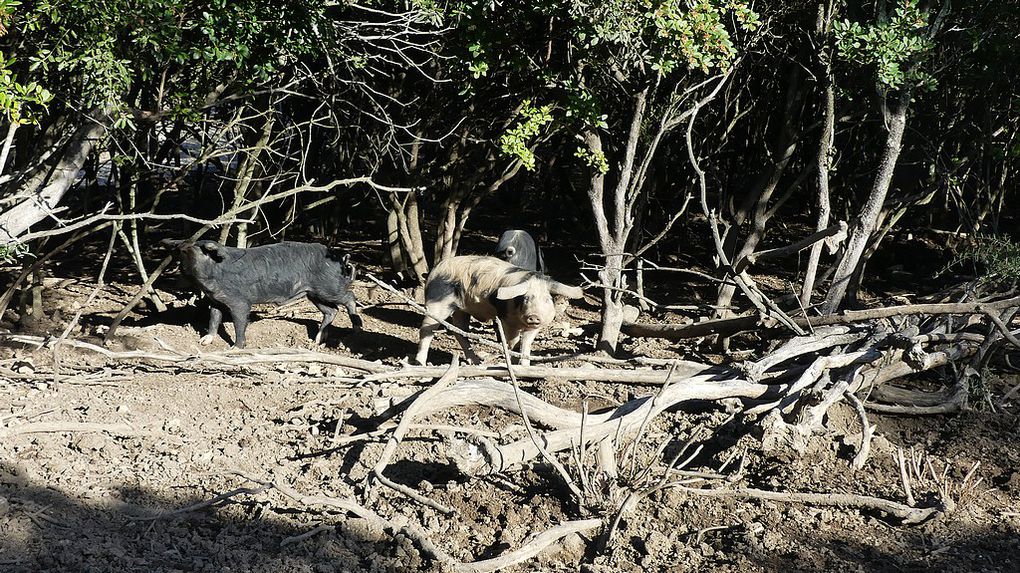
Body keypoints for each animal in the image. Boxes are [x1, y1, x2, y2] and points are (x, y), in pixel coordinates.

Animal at [161, 237, 365, 348]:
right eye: (179, 256)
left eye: (191, 258)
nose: (175, 278)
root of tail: (339, 258)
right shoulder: (216, 301)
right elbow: (213, 319)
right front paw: (204, 341)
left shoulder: (240, 302)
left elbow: (240, 322)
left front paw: (235, 348)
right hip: (313, 294)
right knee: (332, 311)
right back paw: (316, 341)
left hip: (328, 288)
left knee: (349, 298)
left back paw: (356, 329)